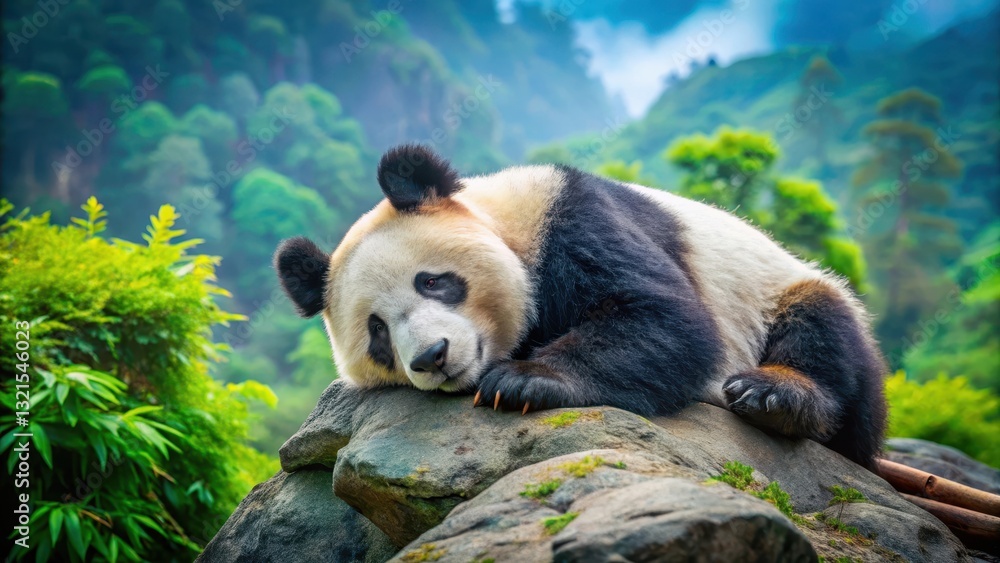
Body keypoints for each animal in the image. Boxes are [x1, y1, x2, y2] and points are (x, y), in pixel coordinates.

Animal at [275, 144, 888, 469]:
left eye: (433, 282)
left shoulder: (571, 218)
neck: (498, 218)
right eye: (377, 332)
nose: (431, 356)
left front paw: (522, 379)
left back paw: (774, 394)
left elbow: (664, 317)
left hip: (775, 285)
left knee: (822, 330)